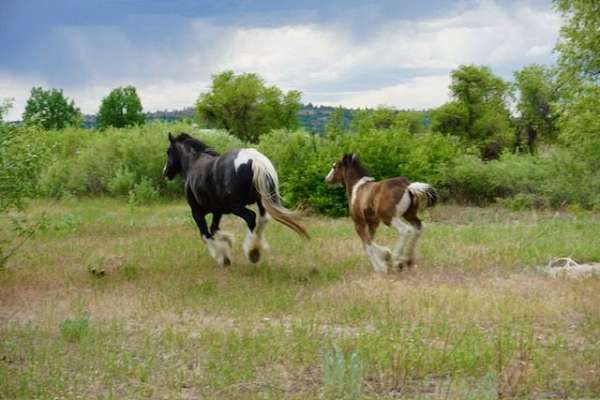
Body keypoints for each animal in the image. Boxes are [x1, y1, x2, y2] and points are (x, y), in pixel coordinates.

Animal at [163, 133, 310, 268]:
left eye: (168, 151)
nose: (165, 172)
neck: (194, 163)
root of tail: (254, 159)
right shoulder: (218, 211)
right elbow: (214, 229)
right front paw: (228, 241)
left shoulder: (197, 212)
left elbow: (206, 235)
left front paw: (223, 258)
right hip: (261, 200)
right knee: (263, 219)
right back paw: (256, 248)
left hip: (236, 206)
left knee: (251, 217)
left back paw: (251, 252)